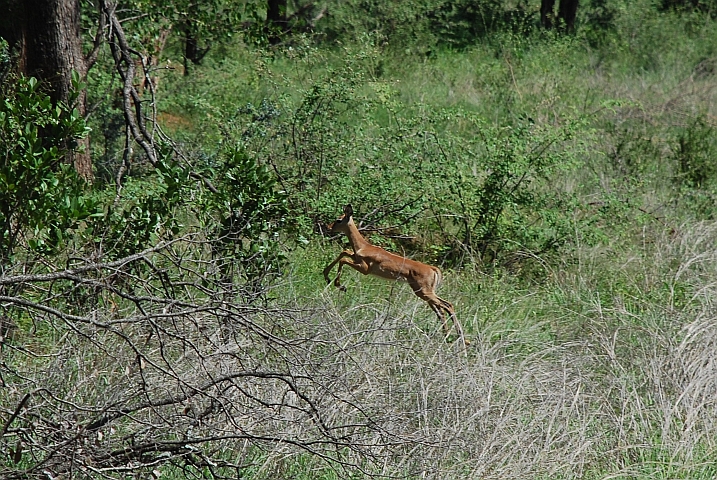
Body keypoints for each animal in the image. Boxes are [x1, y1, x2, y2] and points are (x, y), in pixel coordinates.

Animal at [323, 205, 468, 347]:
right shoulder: (356, 258)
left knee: (447, 305)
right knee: (441, 310)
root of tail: (433, 269)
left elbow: (343, 259)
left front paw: (339, 284)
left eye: (338, 220)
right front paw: (327, 277)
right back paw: (452, 337)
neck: (363, 247)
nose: (328, 227)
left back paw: (459, 337)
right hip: (423, 292)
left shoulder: (365, 268)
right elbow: (344, 252)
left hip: (424, 291)